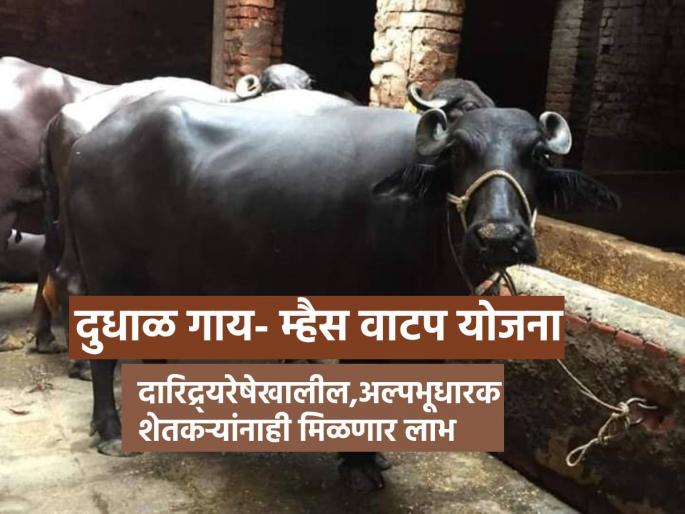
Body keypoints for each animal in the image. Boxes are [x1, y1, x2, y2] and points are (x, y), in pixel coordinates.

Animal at [53, 88, 618, 490]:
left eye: (539, 156)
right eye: (458, 152)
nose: (500, 235)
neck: (426, 219)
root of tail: (86, 144)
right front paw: (358, 465)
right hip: (108, 278)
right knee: (103, 354)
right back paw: (111, 431)